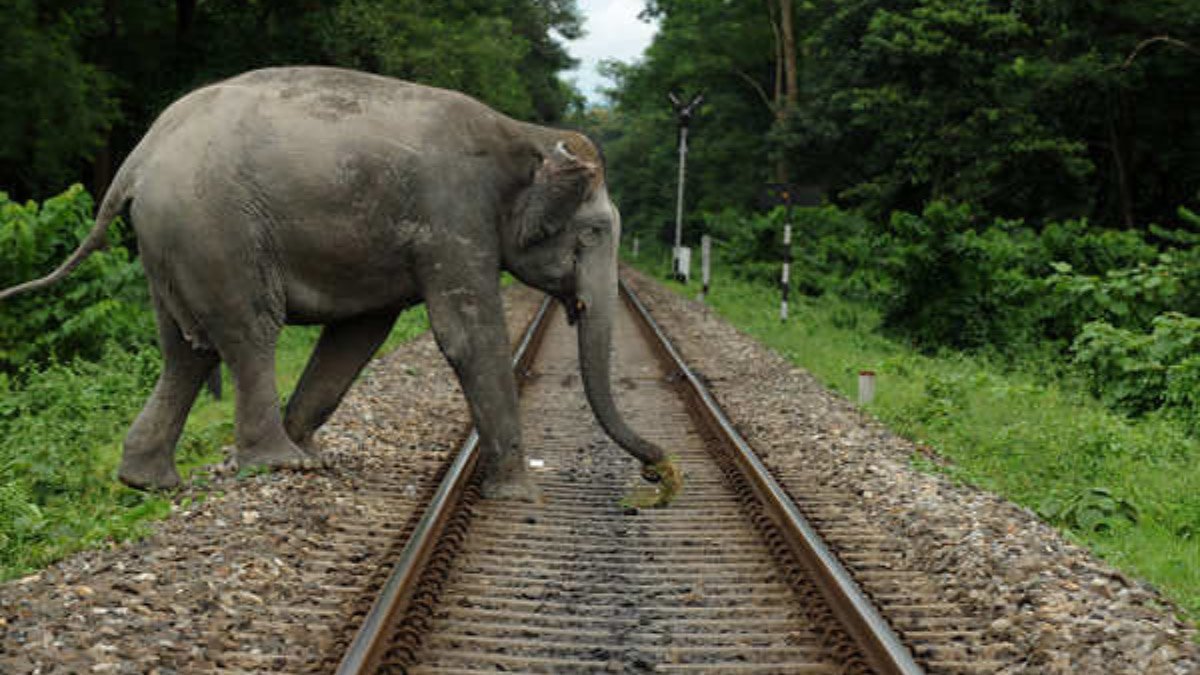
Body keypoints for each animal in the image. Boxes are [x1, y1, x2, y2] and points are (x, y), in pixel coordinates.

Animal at [0, 66, 672, 499]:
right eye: (592, 233)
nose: (659, 471)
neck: (525, 134)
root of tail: (136, 160)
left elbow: (359, 333)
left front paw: (314, 447)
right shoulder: (452, 216)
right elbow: (466, 334)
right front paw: (519, 491)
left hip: (169, 241)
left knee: (187, 351)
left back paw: (152, 481)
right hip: (213, 227)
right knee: (249, 331)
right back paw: (278, 466)